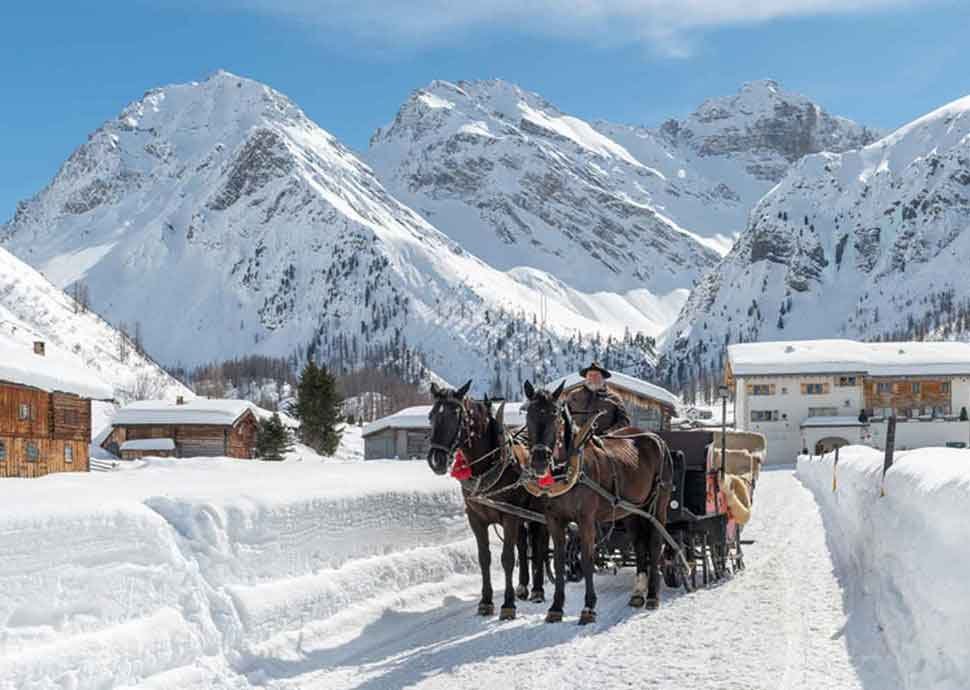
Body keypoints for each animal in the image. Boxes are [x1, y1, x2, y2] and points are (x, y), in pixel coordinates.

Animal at [424, 382, 544, 620]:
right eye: (431, 415)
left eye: (456, 415)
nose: (436, 460)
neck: (486, 466)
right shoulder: (476, 518)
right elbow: (484, 558)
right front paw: (486, 602)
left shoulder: (509, 516)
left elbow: (507, 558)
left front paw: (508, 605)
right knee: (523, 544)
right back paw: (523, 587)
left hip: (537, 512)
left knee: (538, 545)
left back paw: (537, 590)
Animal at [520, 378, 672, 620]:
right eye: (529, 414)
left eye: (555, 414)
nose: (539, 460)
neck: (568, 471)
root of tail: (655, 437)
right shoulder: (554, 520)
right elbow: (559, 559)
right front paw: (556, 607)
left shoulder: (586, 520)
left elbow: (587, 558)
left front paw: (588, 607)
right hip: (632, 509)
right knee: (640, 545)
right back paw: (638, 593)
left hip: (658, 506)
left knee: (655, 544)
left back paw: (652, 597)